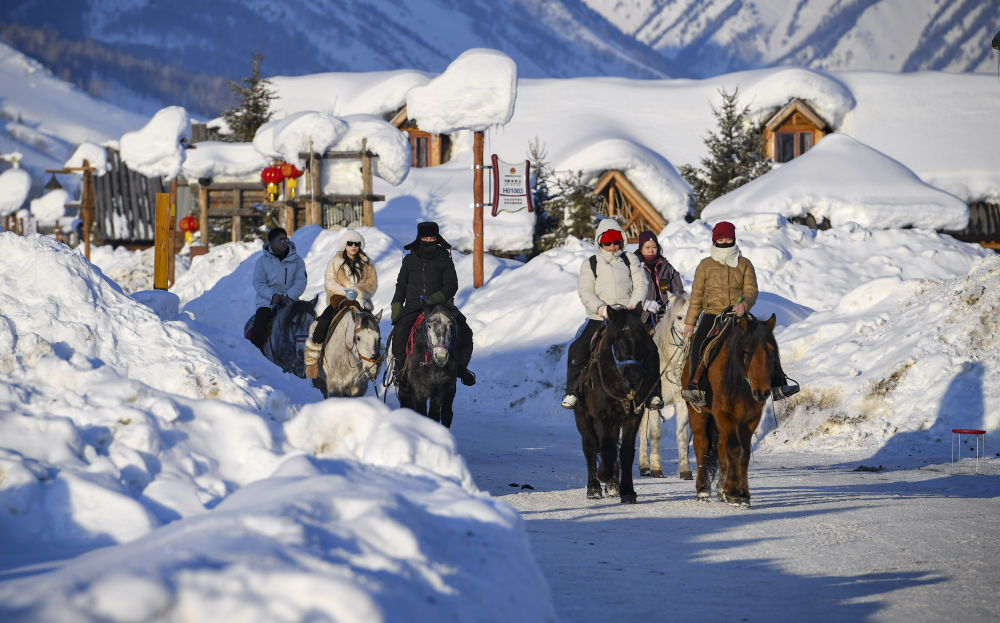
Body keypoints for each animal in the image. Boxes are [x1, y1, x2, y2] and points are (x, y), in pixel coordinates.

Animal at [636, 294, 692, 480]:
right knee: (643, 430)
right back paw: (644, 465)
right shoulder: (654, 403)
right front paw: (656, 468)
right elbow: (655, 434)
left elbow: (682, 435)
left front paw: (685, 469)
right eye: (679, 317)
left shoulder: (682, 402)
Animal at [684, 314, 784, 510]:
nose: (762, 392)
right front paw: (733, 493)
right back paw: (703, 491)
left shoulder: (750, 419)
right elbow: (734, 448)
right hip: (699, 415)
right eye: (746, 352)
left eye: (772, 353)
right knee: (702, 445)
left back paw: (720, 490)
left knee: (721, 446)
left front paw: (742, 494)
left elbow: (744, 452)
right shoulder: (724, 414)